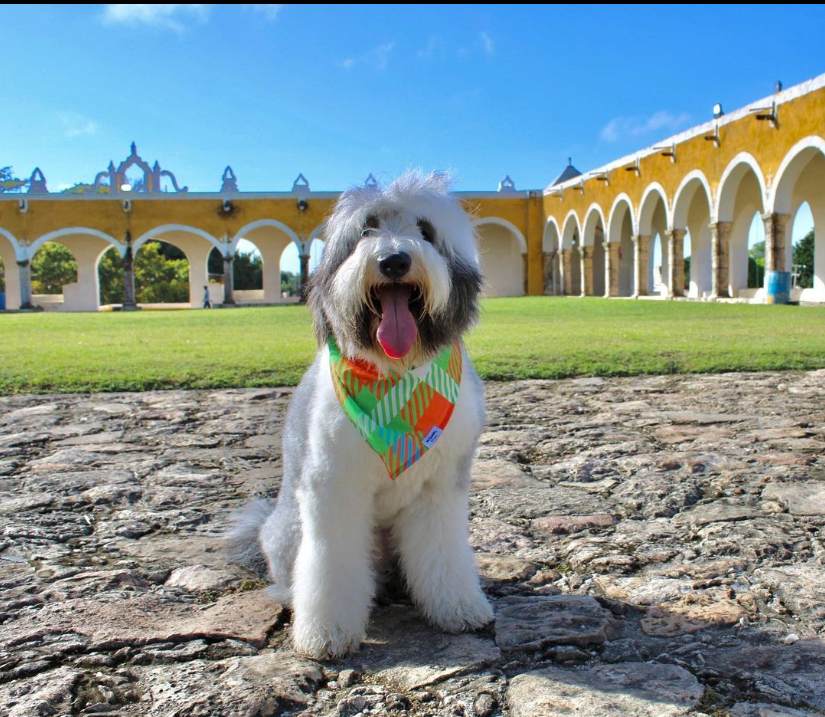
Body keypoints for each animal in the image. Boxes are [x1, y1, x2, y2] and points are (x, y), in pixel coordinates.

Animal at [225, 171, 492, 656]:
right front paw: (325, 633)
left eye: (425, 230)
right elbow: (331, 564)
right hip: (290, 532)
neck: (397, 377)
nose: (394, 260)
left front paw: (458, 608)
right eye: (366, 229)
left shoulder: (441, 487)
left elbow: (443, 549)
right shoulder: (333, 486)